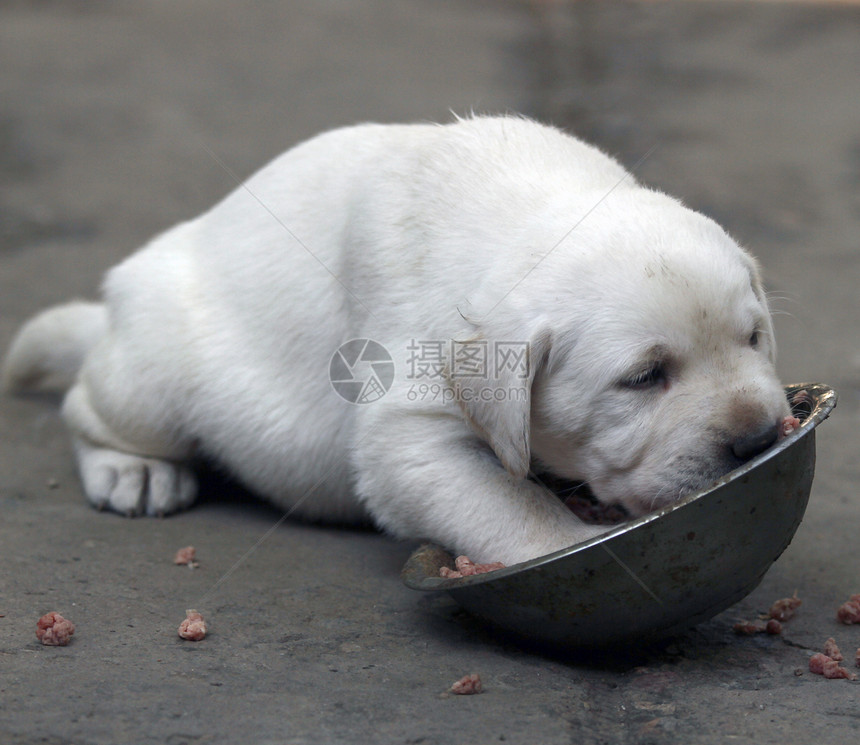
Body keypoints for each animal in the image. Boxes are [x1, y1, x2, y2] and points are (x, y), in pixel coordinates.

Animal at [3, 113, 788, 560]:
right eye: (644, 377)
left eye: (754, 338)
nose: (758, 439)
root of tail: (116, 300)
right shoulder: (410, 423)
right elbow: (509, 506)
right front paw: (572, 544)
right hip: (157, 370)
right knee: (89, 406)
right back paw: (133, 471)